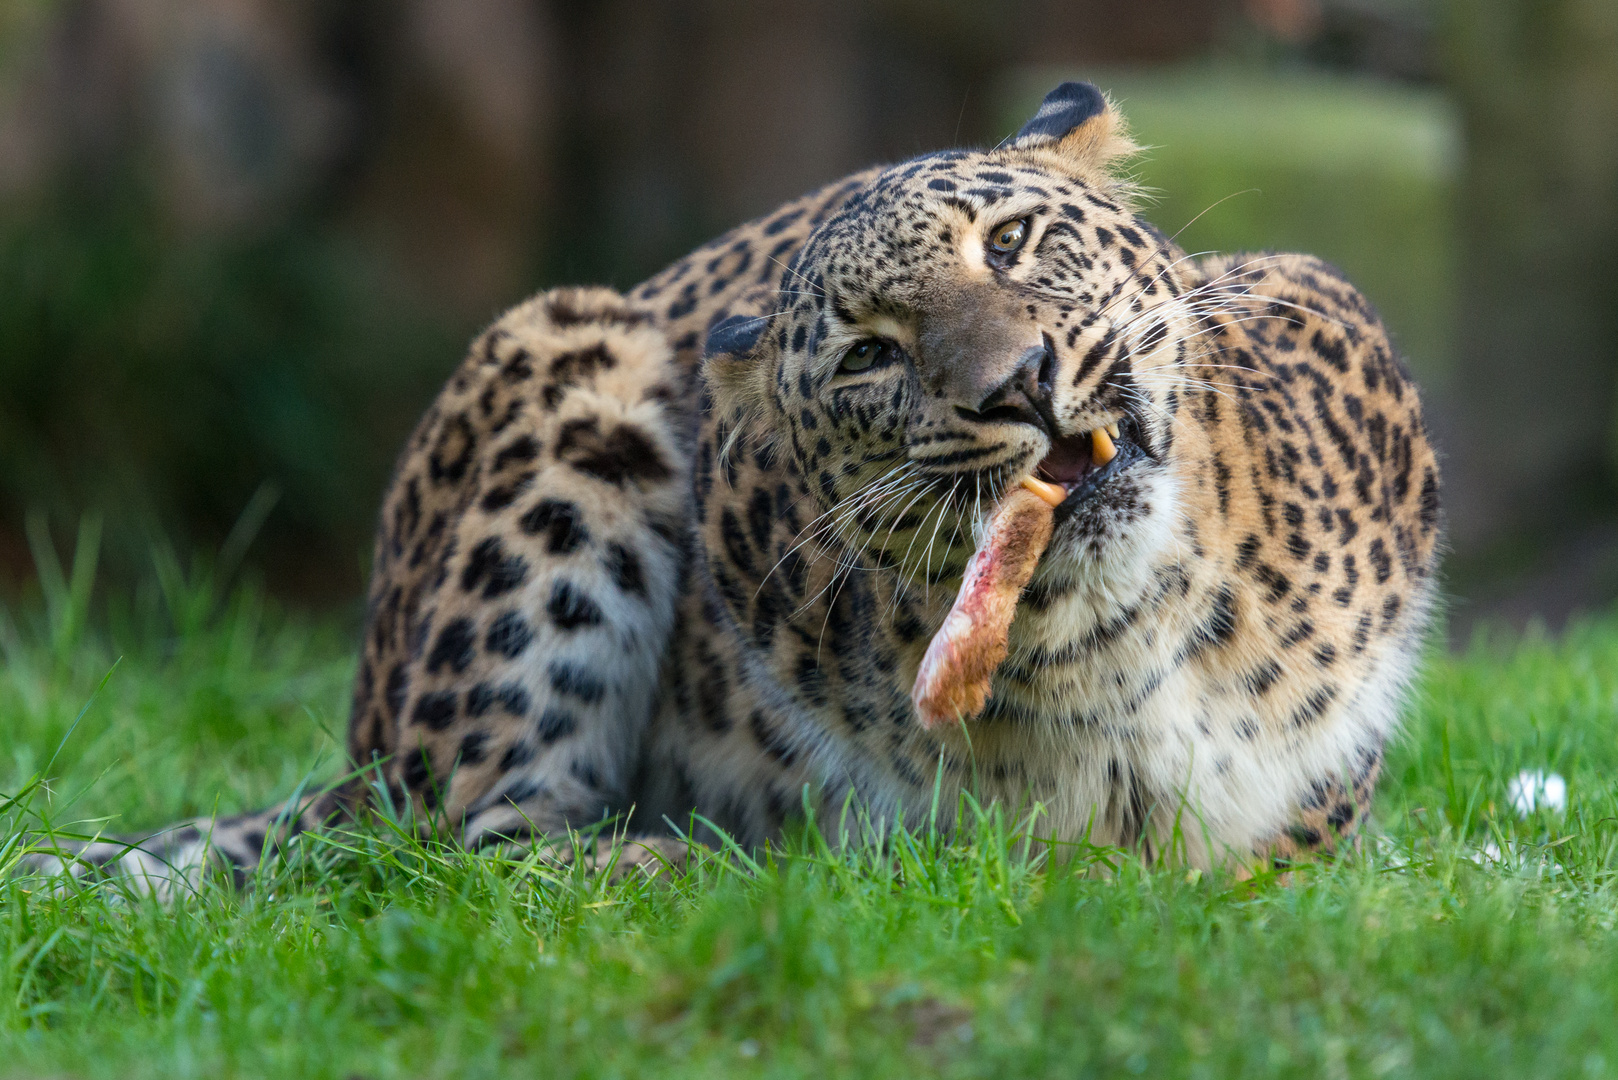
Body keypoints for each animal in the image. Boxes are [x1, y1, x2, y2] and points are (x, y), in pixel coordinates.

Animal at [25, 84, 1443, 893]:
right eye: (870, 354)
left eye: (1015, 242)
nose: (1020, 383)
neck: (1146, 636)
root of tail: (360, 744)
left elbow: (1302, 828)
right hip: (563, 363)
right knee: (450, 849)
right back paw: (699, 864)